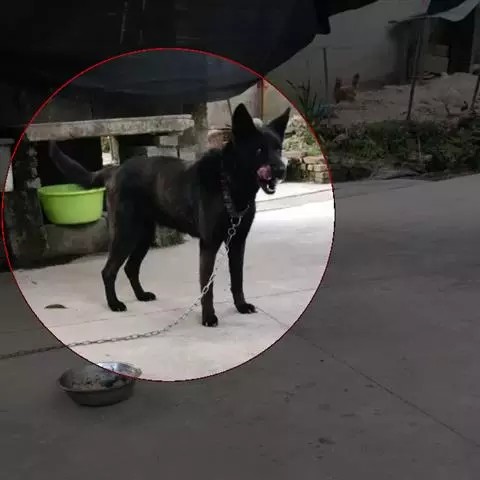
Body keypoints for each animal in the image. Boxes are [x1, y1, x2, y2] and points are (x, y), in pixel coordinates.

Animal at [48, 103, 290, 327]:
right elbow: (207, 287)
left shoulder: (238, 242)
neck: (228, 185)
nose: (282, 170)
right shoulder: (209, 245)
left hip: (143, 236)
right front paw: (208, 317)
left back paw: (141, 295)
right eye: (259, 150)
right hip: (126, 234)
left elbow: (237, 279)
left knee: (130, 268)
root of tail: (115, 169)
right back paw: (114, 304)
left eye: (278, 149)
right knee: (109, 271)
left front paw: (240, 306)